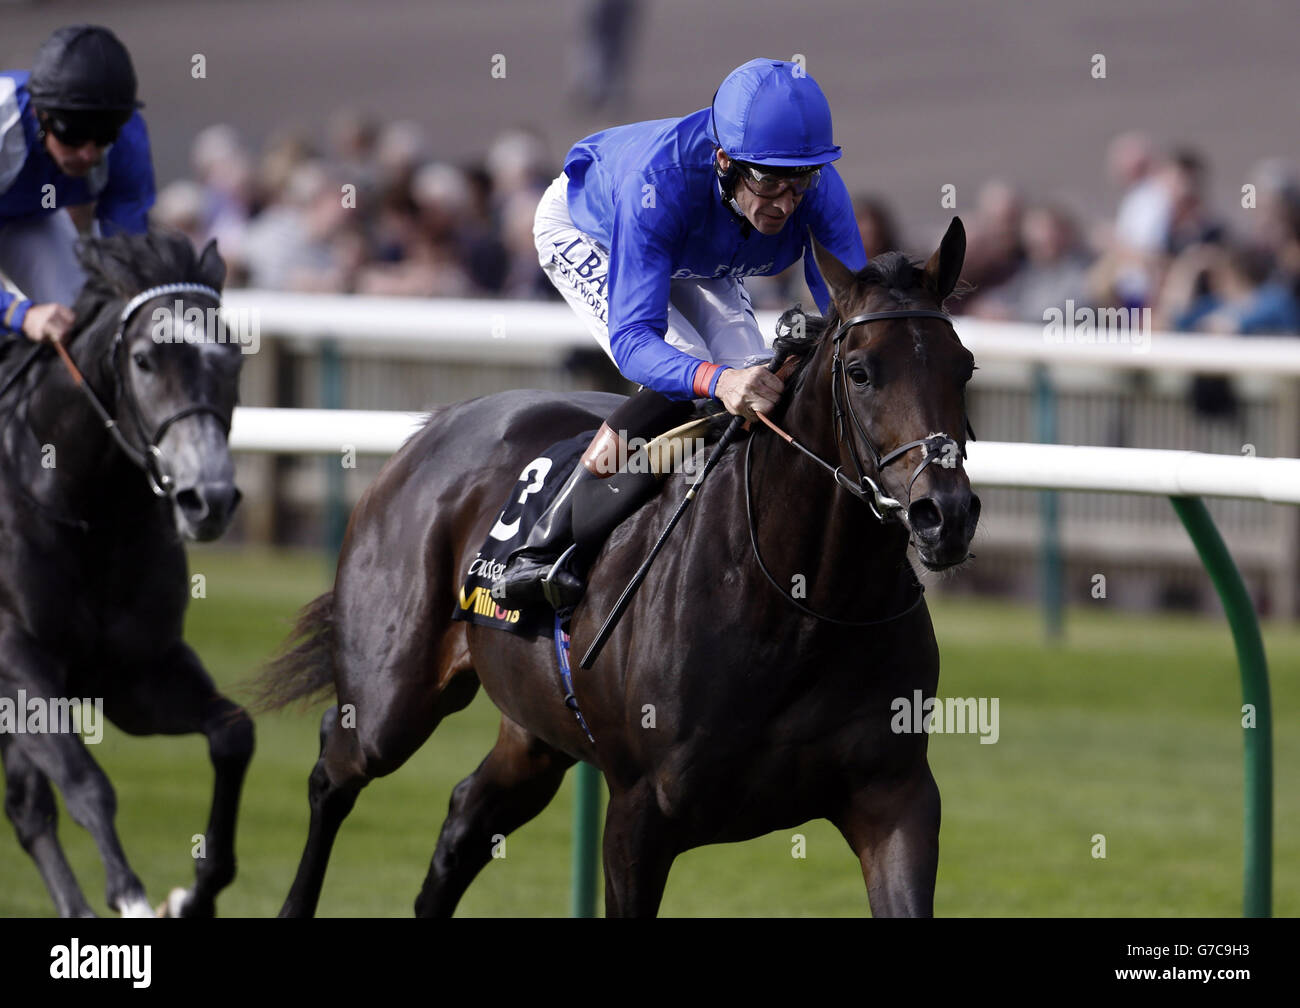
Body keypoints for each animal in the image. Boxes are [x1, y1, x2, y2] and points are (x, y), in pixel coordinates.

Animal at [0, 230, 248, 915]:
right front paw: (133, 897)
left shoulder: (134, 674)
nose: (208, 500)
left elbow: (233, 734)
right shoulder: (16, 661)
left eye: (234, 357)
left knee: (27, 808)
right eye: (144, 360)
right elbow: (86, 782)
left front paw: (194, 895)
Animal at [261, 217, 977, 920]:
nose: (944, 514)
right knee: (334, 770)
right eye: (859, 372)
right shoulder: (639, 813)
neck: (803, 606)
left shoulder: (896, 798)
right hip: (391, 698)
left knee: (465, 819)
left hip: (534, 732)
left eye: (964, 366)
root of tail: (433, 427)